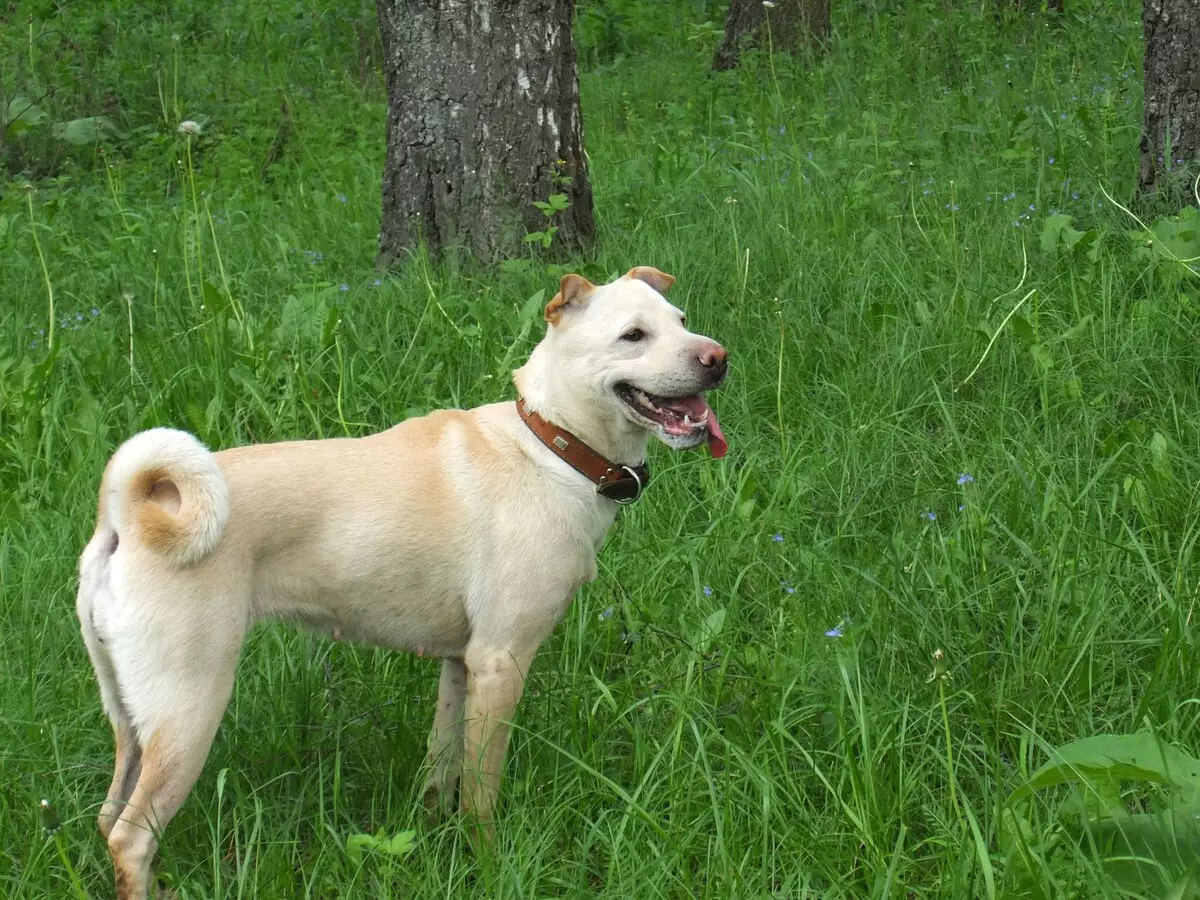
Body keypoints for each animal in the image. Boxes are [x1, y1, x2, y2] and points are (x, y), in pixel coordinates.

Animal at [79, 266, 729, 897]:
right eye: (633, 336)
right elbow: (481, 796)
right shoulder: (502, 662)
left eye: (681, 321)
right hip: (189, 708)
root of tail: (125, 511)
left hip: (132, 718)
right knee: (131, 838)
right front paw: (488, 868)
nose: (717, 357)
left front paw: (434, 838)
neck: (550, 446)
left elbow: (441, 767)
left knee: (108, 818)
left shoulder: (461, 664)